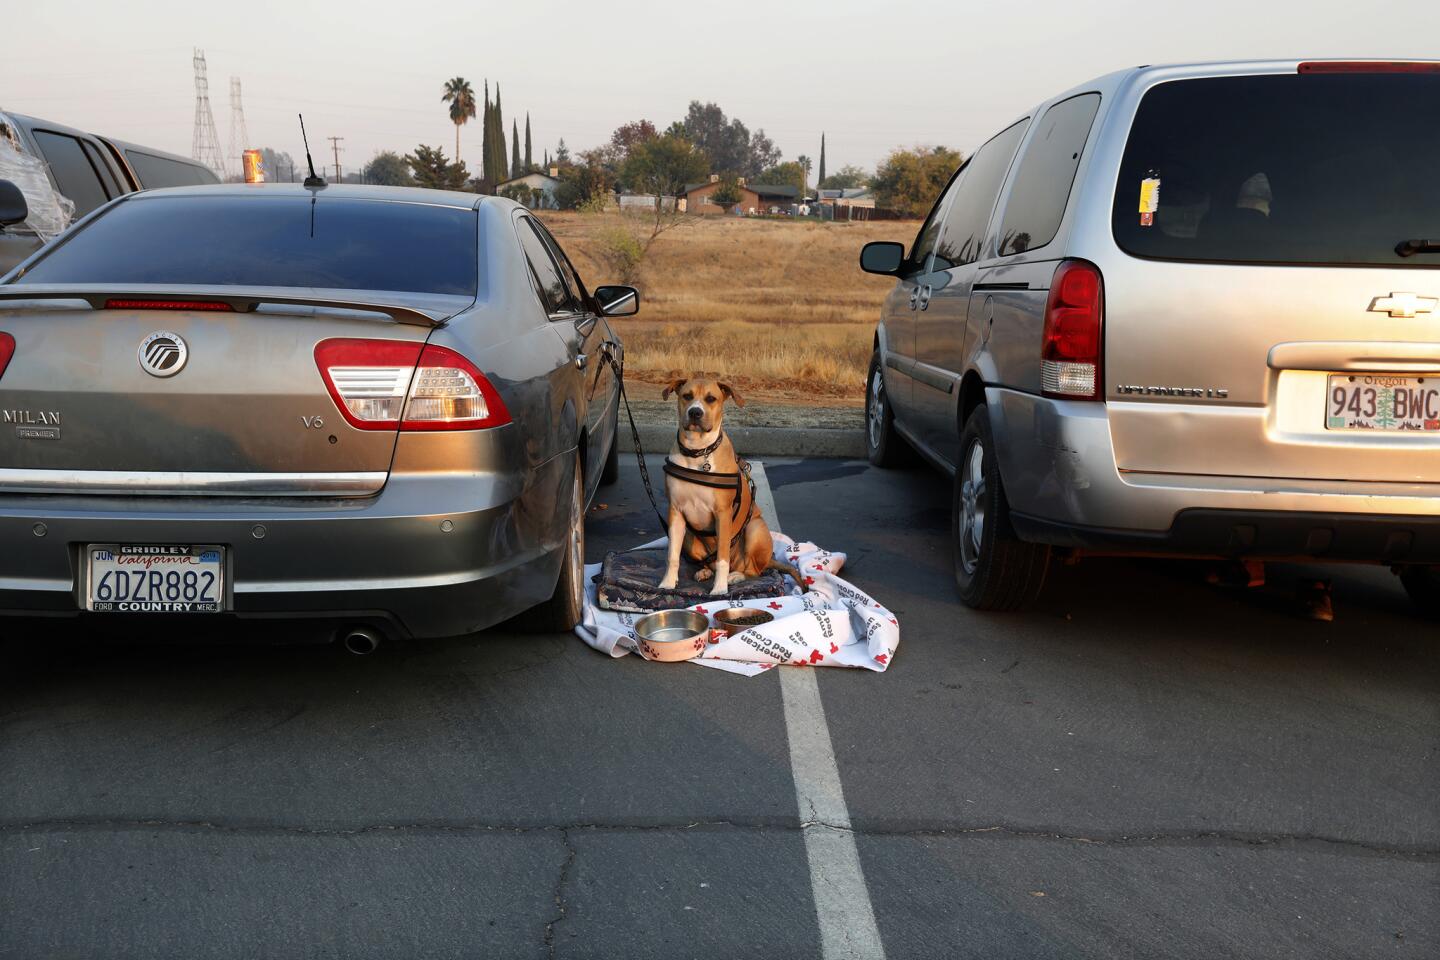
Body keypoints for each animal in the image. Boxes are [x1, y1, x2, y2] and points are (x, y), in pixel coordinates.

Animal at [656, 374, 806, 592]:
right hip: (690, 538)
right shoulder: (675, 511)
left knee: (751, 570)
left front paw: (719, 589)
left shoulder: (723, 514)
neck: (698, 451)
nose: (695, 412)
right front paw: (667, 583)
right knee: (709, 561)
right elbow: (672, 555)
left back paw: (733, 577)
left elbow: (722, 558)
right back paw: (705, 571)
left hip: (755, 530)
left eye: (711, 398)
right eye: (687, 396)